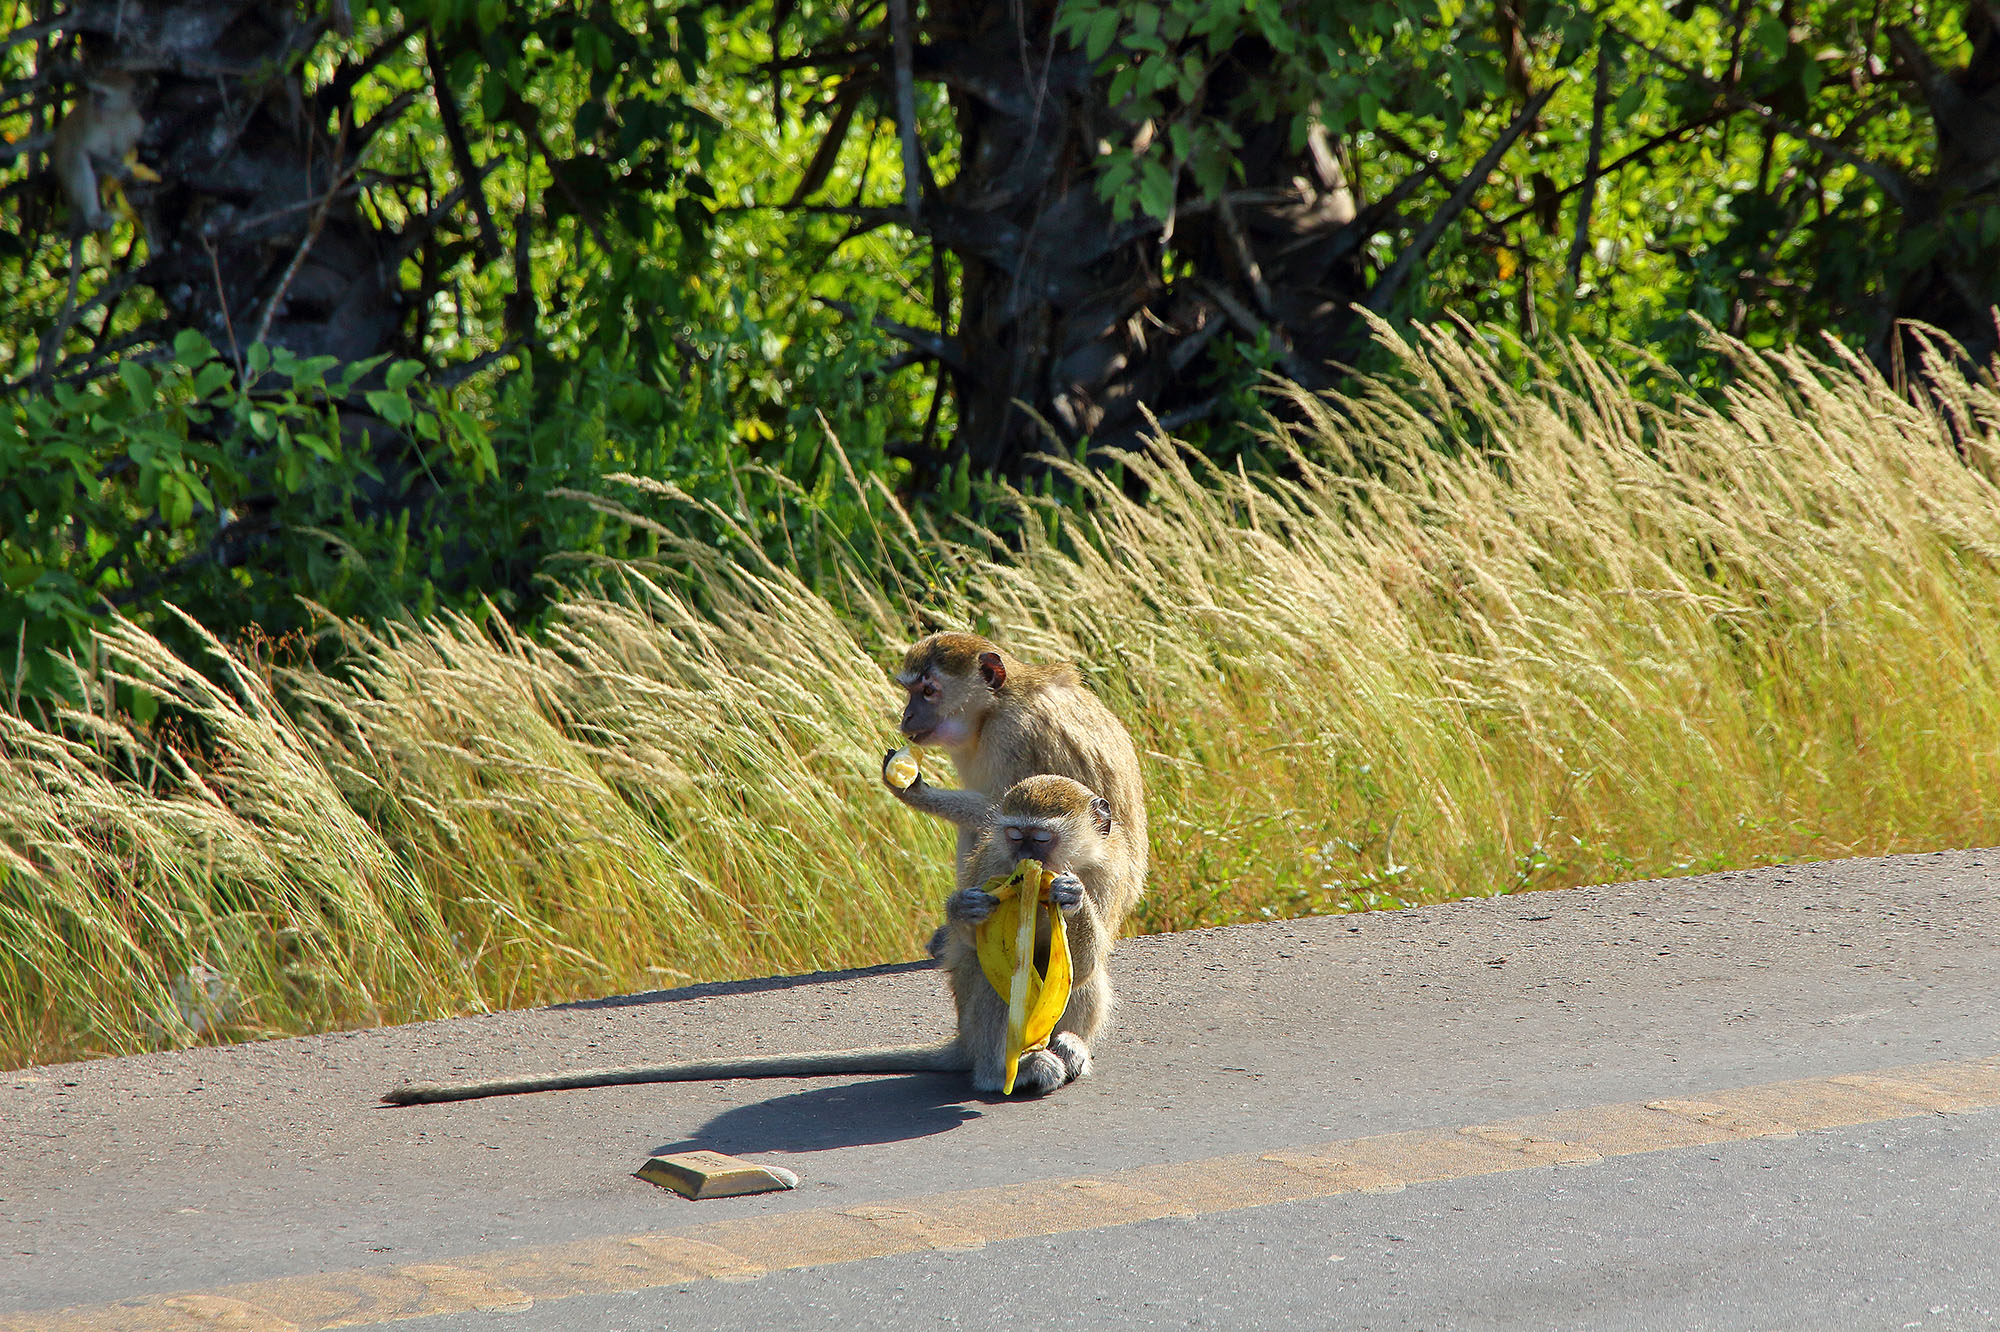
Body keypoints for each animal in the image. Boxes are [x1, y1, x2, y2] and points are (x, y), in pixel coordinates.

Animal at [382, 768, 1136, 1096]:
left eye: (1043, 839)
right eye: (1017, 839)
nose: (1032, 864)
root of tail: (965, 1049)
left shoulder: (1099, 866)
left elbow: (1090, 944)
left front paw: (1068, 901)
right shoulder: (989, 862)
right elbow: (964, 947)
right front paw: (970, 914)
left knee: (1087, 978)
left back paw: (1064, 1047)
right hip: (983, 1036)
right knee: (988, 983)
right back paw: (999, 1070)